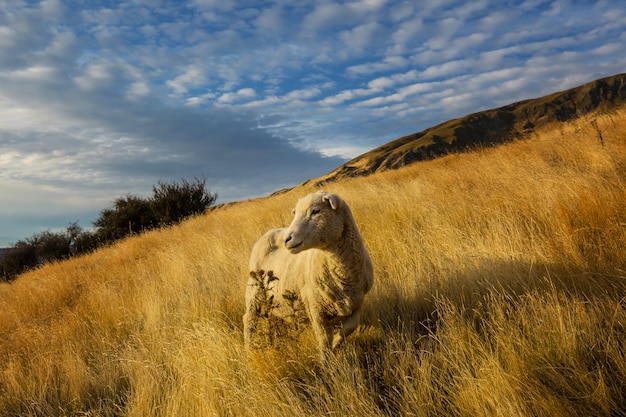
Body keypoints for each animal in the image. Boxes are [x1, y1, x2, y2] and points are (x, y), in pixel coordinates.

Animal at [243, 190, 370, 356]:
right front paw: (327, 358)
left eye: (316, 211)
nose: (287, 239)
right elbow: (324, 340)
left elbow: (350, 328)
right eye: (295, 213)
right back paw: (248, 350)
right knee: (249, 320)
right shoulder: (315, 307)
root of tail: (268, 233)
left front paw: (336, 344)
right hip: (254, 290)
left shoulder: (357, 303)